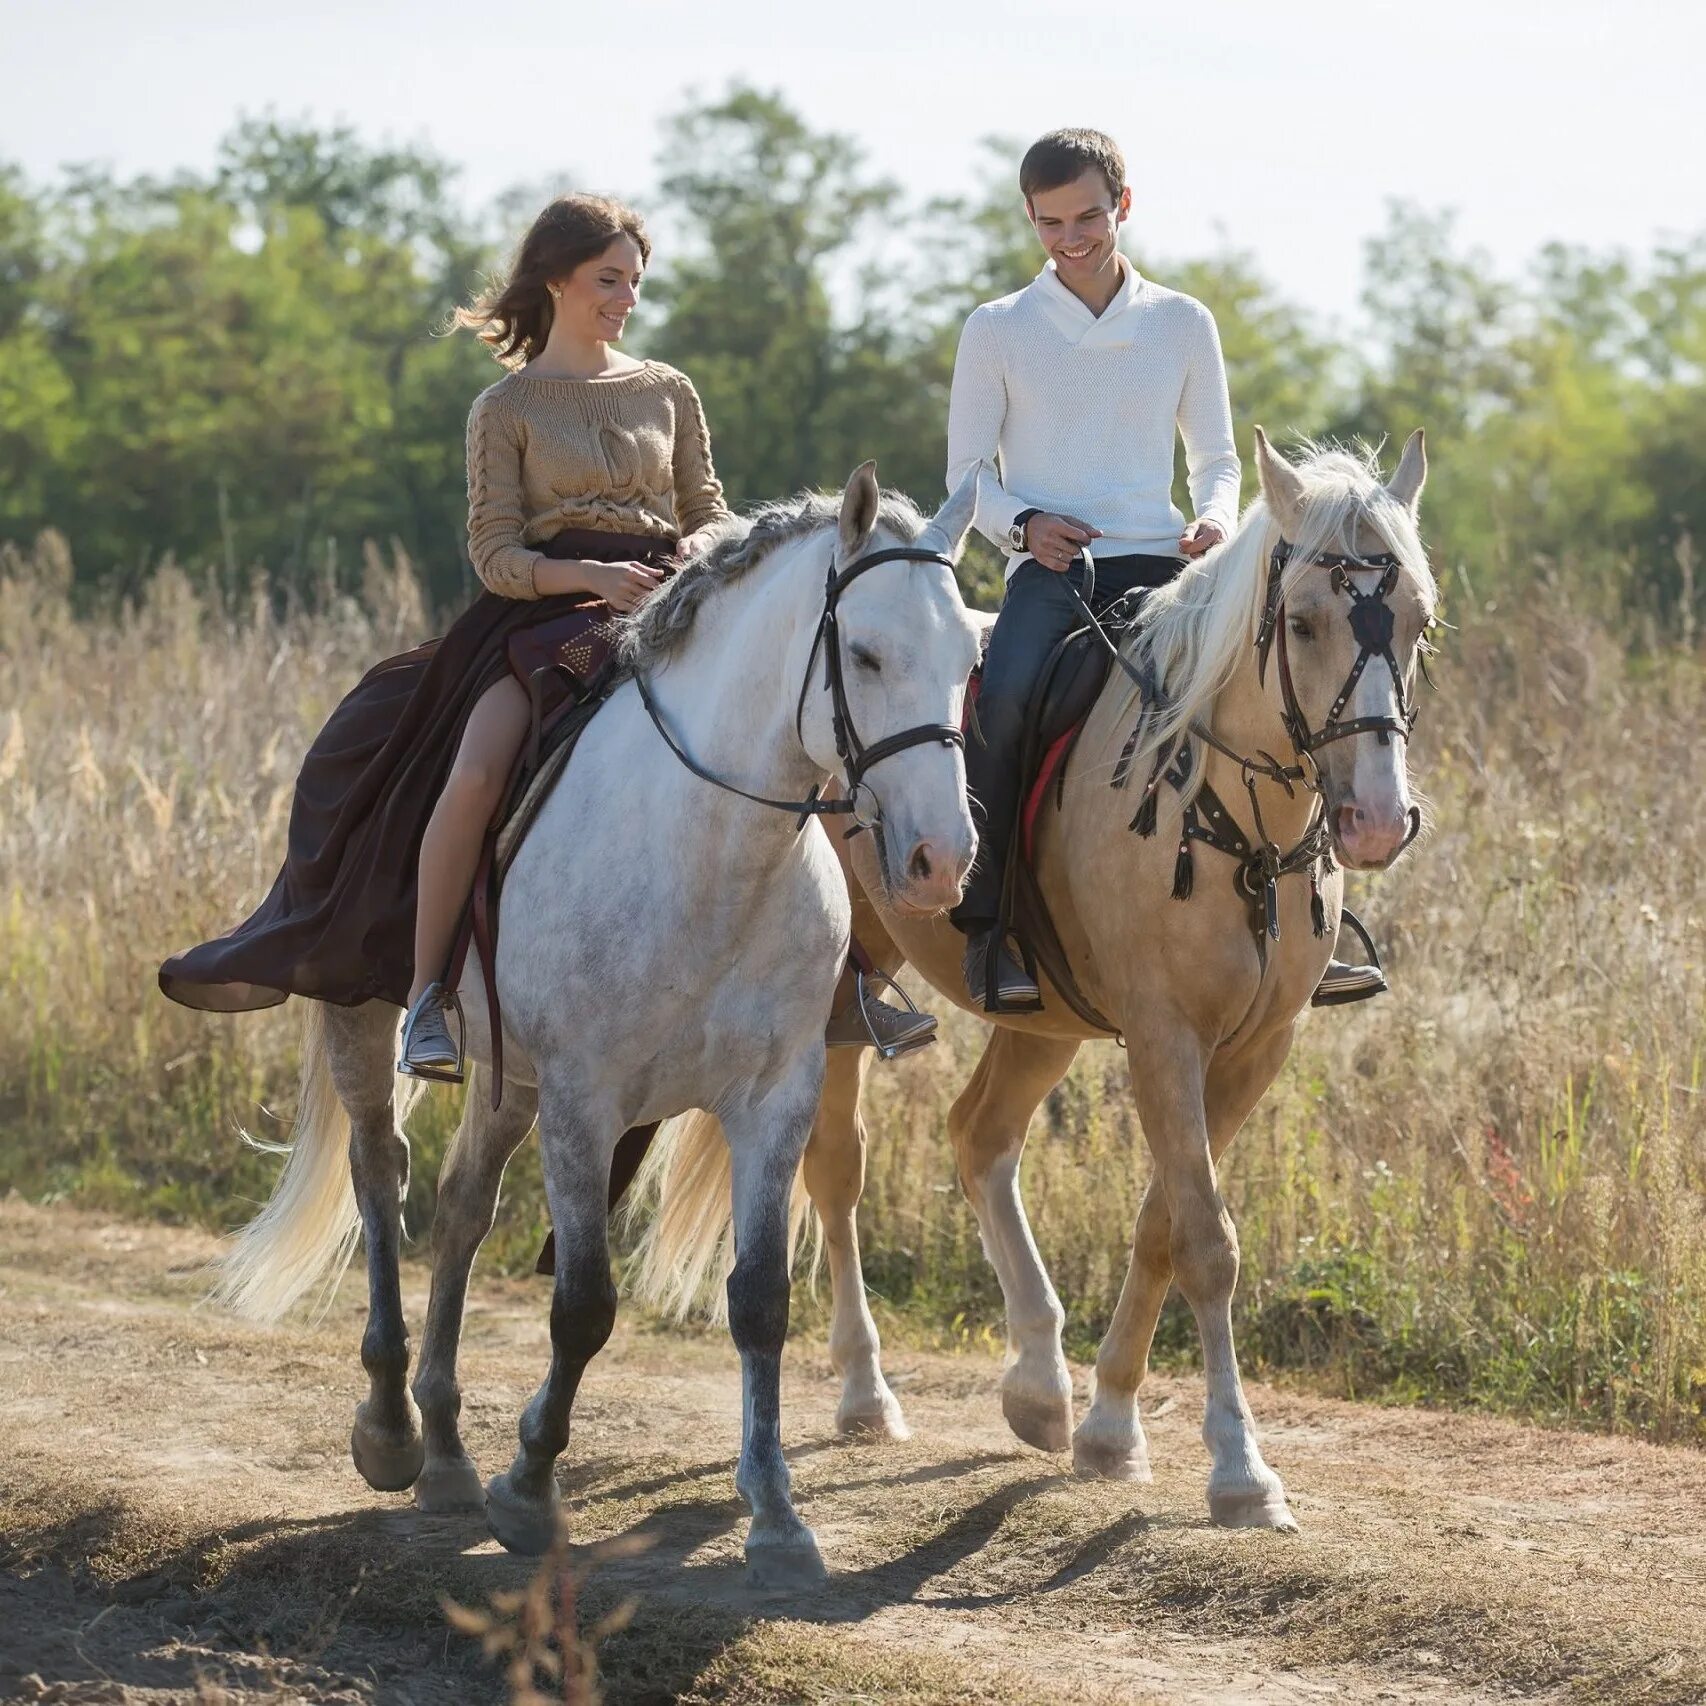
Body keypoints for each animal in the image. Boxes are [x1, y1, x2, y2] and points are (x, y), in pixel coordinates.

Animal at [214, 467, 989, 1583]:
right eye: (868, 653)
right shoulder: (586, 1100)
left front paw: (776, 1516)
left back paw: (445, 1448)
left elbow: (758, 1299)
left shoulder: (773, 1096)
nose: (940, 860)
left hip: (512, 1080)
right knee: (380, 1174)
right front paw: (530, 1486)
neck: (708, 849)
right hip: (366, 1022)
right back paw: (391, 1427)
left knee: (460, 1206)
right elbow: (582, 1305)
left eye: (969, 658)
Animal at [634, 429, 1433, 1535]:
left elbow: (1163, 1223)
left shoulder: (1250, 1050)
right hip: (841, 998)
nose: (1375, 821)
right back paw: (865, 1393)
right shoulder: (1163, 1036)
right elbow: (1207, 1239)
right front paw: (1239, 1470)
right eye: (1305, 620)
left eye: (1415, 621)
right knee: (838, 1168)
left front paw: (1108, 1425)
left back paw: (1037, 1387)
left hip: (1041, 1017)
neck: (1224, 815)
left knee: (978, 1135)